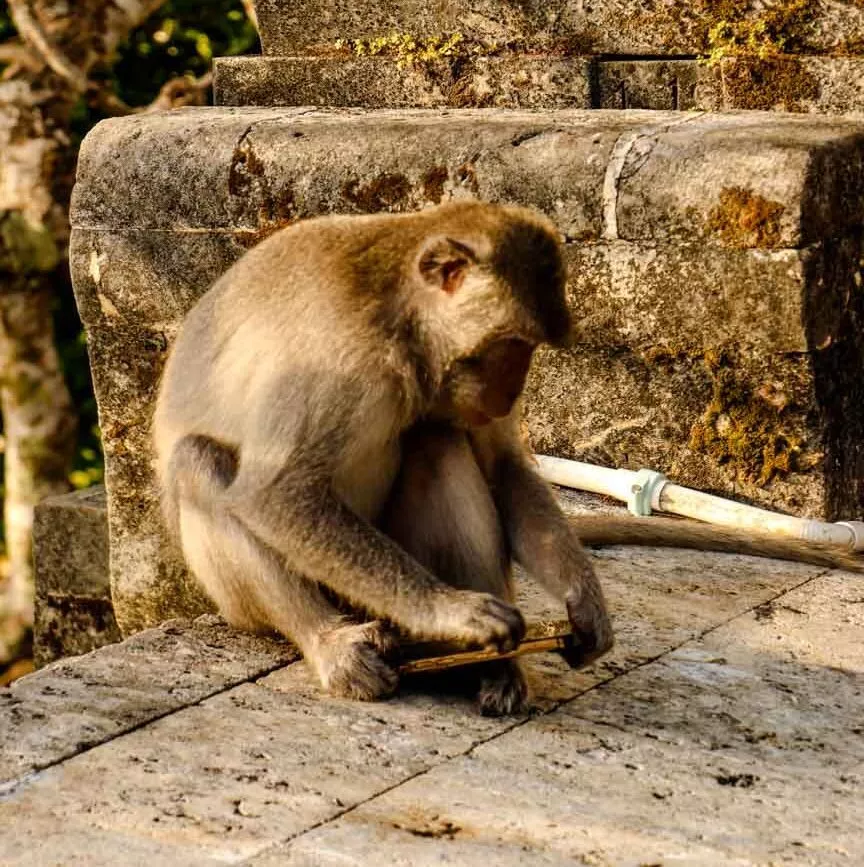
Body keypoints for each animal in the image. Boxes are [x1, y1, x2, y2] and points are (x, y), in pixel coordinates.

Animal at [153, 199, 861, 717]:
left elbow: (501, 468)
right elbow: (276, 492)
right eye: (511, 345)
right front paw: (452, 611)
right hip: (270, 603)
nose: (512, 389)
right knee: (200, 463)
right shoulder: (333, 354)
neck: (403, 326)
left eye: (532, 348)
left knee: (438, 440)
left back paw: (498, 665)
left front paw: (583, 600)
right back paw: (333, 645)